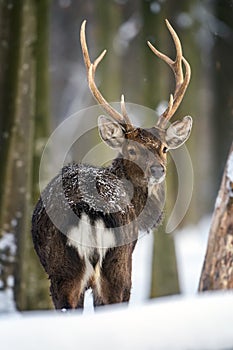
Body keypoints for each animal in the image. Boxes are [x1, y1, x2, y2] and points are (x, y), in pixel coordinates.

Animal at [31, 19, 192, 308]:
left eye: (163, 148)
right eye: (132, 149)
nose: (158, 169)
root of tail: (89, 209)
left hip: (64, 274)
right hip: (116, 267)